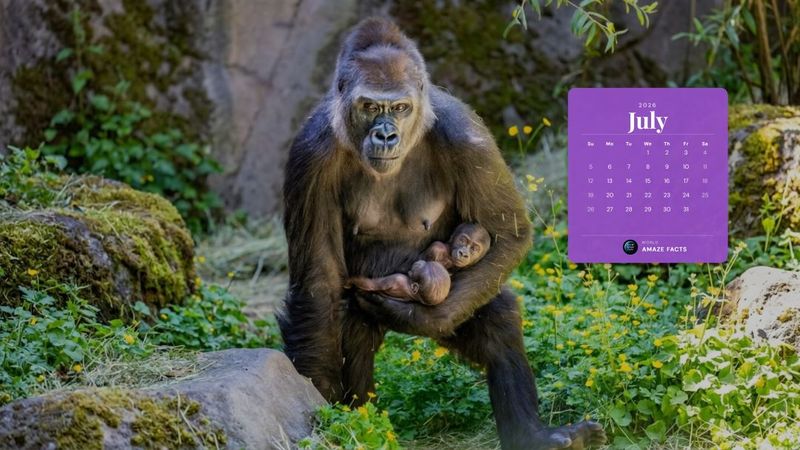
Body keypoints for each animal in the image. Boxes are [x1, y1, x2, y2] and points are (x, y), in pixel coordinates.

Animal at [279, 17, 606, 450]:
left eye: (401, 108)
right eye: (370, 107)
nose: (386, 135)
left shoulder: (467, 136)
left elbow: (507, 233)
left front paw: (423, 317)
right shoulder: (310, 155)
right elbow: (318, 285)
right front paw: (324, 406)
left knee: (497, 316)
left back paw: (532, 435)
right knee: (350, 330)